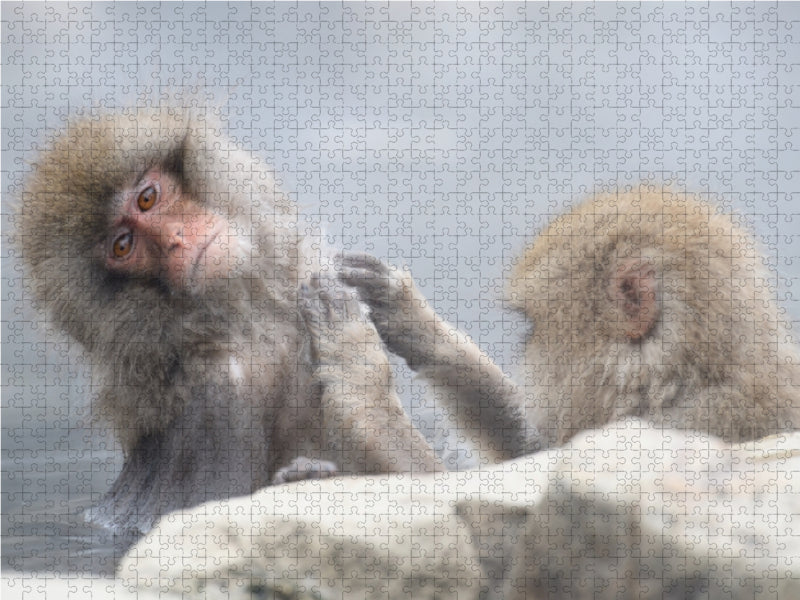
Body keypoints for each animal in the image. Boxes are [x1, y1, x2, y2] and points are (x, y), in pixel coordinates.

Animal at [18, 106, 438, 528]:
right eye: (123, 246)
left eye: (147, 198)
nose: (176, 239)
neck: (245, 323)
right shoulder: (218, 399)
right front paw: (359, 371)